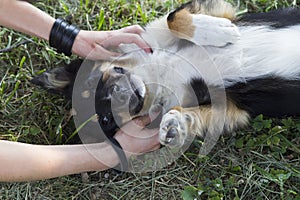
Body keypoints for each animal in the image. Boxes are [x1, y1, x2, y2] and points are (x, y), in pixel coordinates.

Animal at [32, 0, 300, 148]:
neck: (157, 73)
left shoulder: (214, 10)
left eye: (90, 81)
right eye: (107, 120)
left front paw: (217, 31)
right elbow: (190, 114)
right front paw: (174, 124)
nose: (121, 96)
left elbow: (174, 17)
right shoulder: (230, 111)